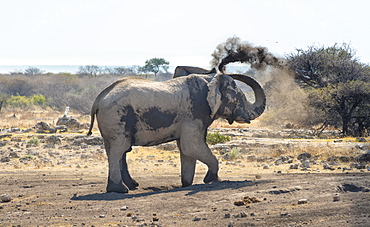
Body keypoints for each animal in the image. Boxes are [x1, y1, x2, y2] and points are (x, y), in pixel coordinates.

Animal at [86, 66, 266, 193]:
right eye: (239, 96)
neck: (209, 80)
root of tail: (98, 99)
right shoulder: (195, 112)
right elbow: (191, 146)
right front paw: (211, 180)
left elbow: (187, 150)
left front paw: (187, 184)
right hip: (116, 117)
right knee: (118, 150)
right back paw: (120, 190)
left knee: (117, 150)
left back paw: (132, 185)